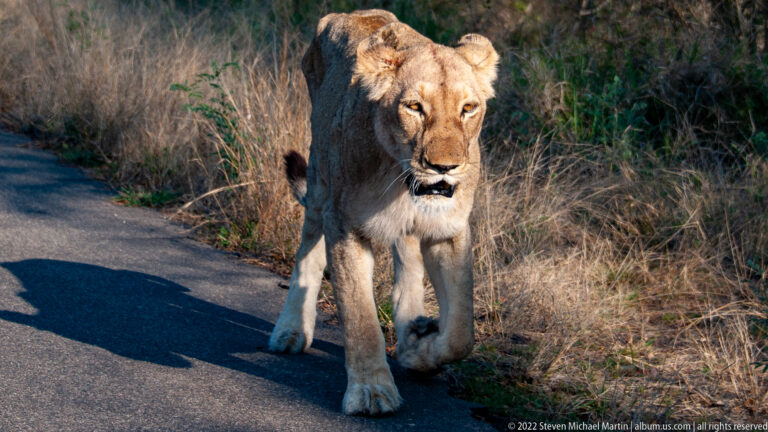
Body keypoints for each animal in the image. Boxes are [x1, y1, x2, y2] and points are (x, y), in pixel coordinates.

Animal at [268, 9, 499, 415]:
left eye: (468, 108)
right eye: (414, 107)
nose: (444, 168)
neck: (403, 184)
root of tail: (349, 13)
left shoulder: (447, 231)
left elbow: (461, 332)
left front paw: (419, 351)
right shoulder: (345, 227)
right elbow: (360, 317)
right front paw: (371, 392)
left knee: (407, 262)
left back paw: (411, 330)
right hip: (320, 176)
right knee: (308, 249)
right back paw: (291, 330)